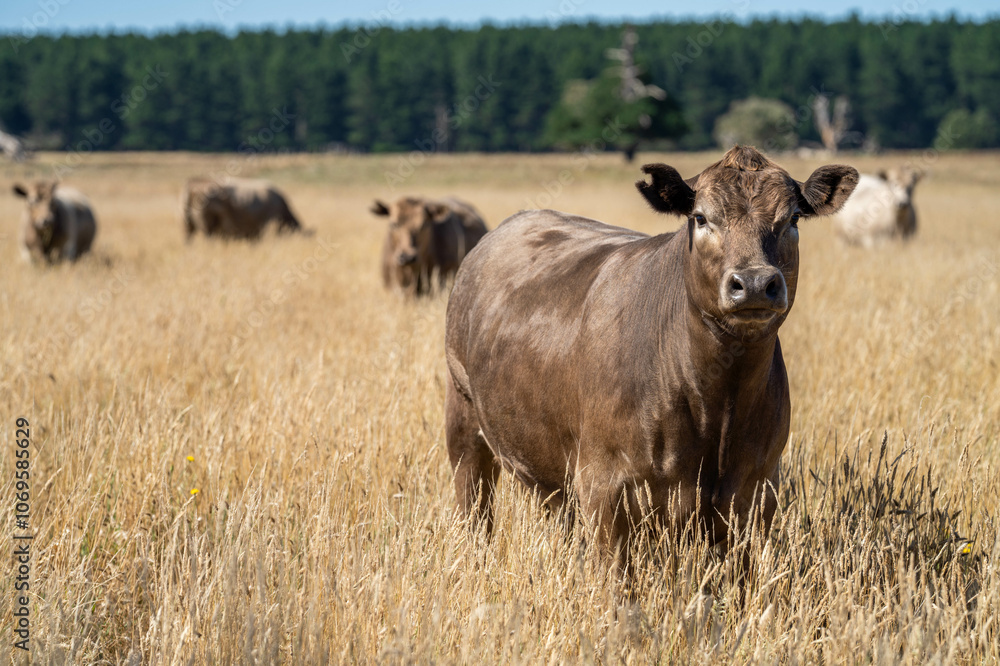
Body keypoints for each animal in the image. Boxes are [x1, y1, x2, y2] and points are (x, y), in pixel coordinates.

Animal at [446, 144, 860, 564]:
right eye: (700, 217)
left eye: (792, 218)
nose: (756, 282)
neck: (717, 400)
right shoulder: (604, 489)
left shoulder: (755, 494)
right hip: (463, 421)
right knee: (474, 505)